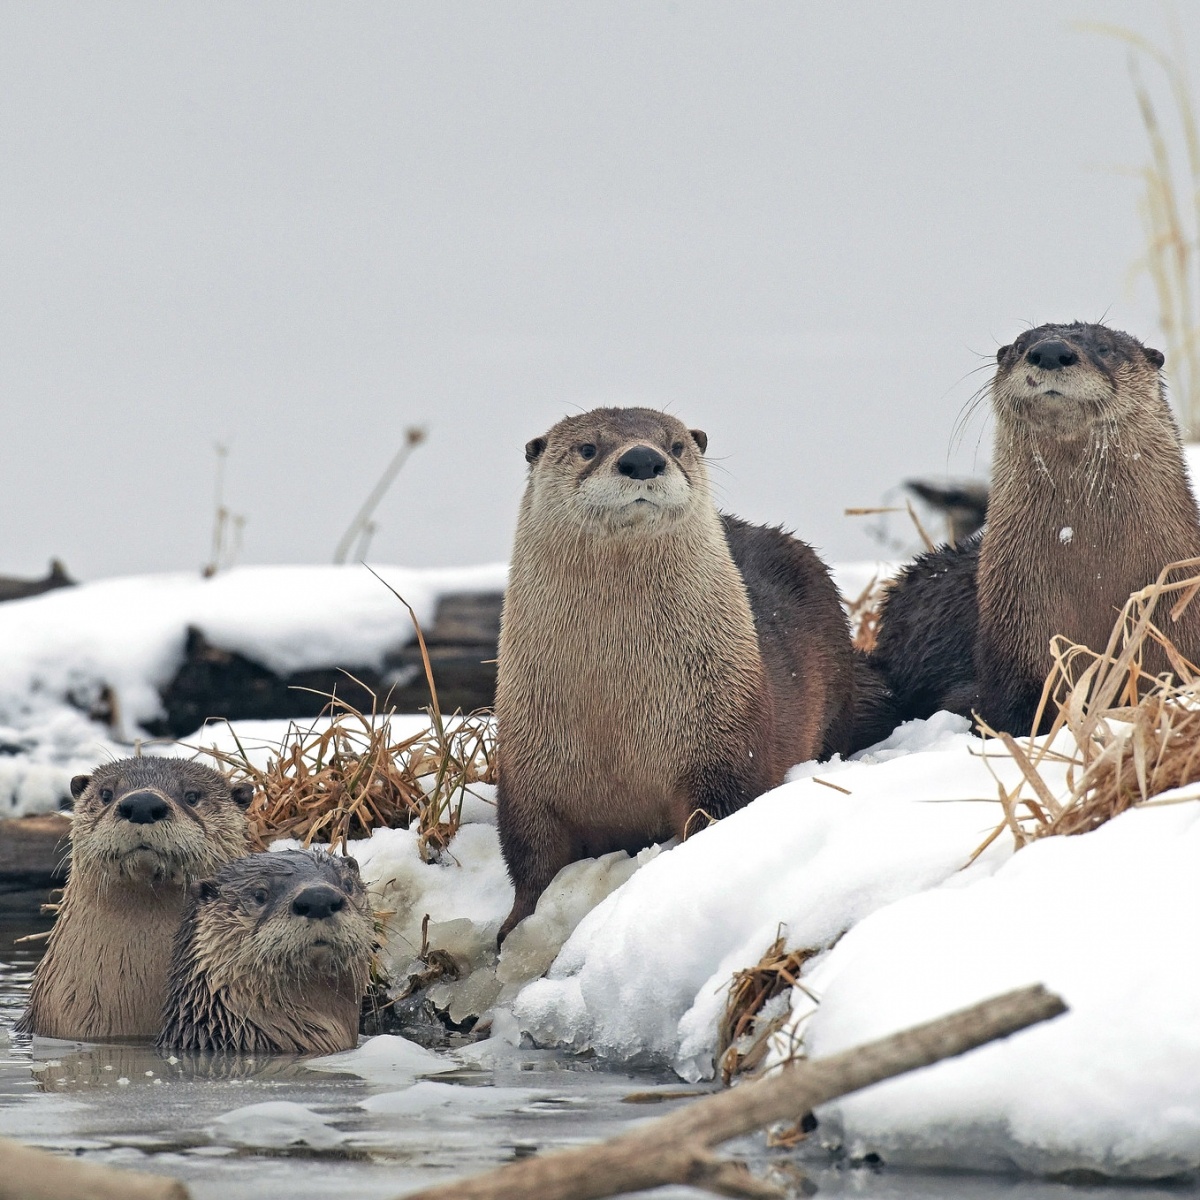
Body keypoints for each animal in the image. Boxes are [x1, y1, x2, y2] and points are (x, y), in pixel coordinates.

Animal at [494, 408, 854, 940]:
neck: (615, 713)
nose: (643, 458)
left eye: (676, 445)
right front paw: (516, 927)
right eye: (587, 448)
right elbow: (529, 854)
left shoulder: (725, 742)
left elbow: (718, 813)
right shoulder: (527, 768)